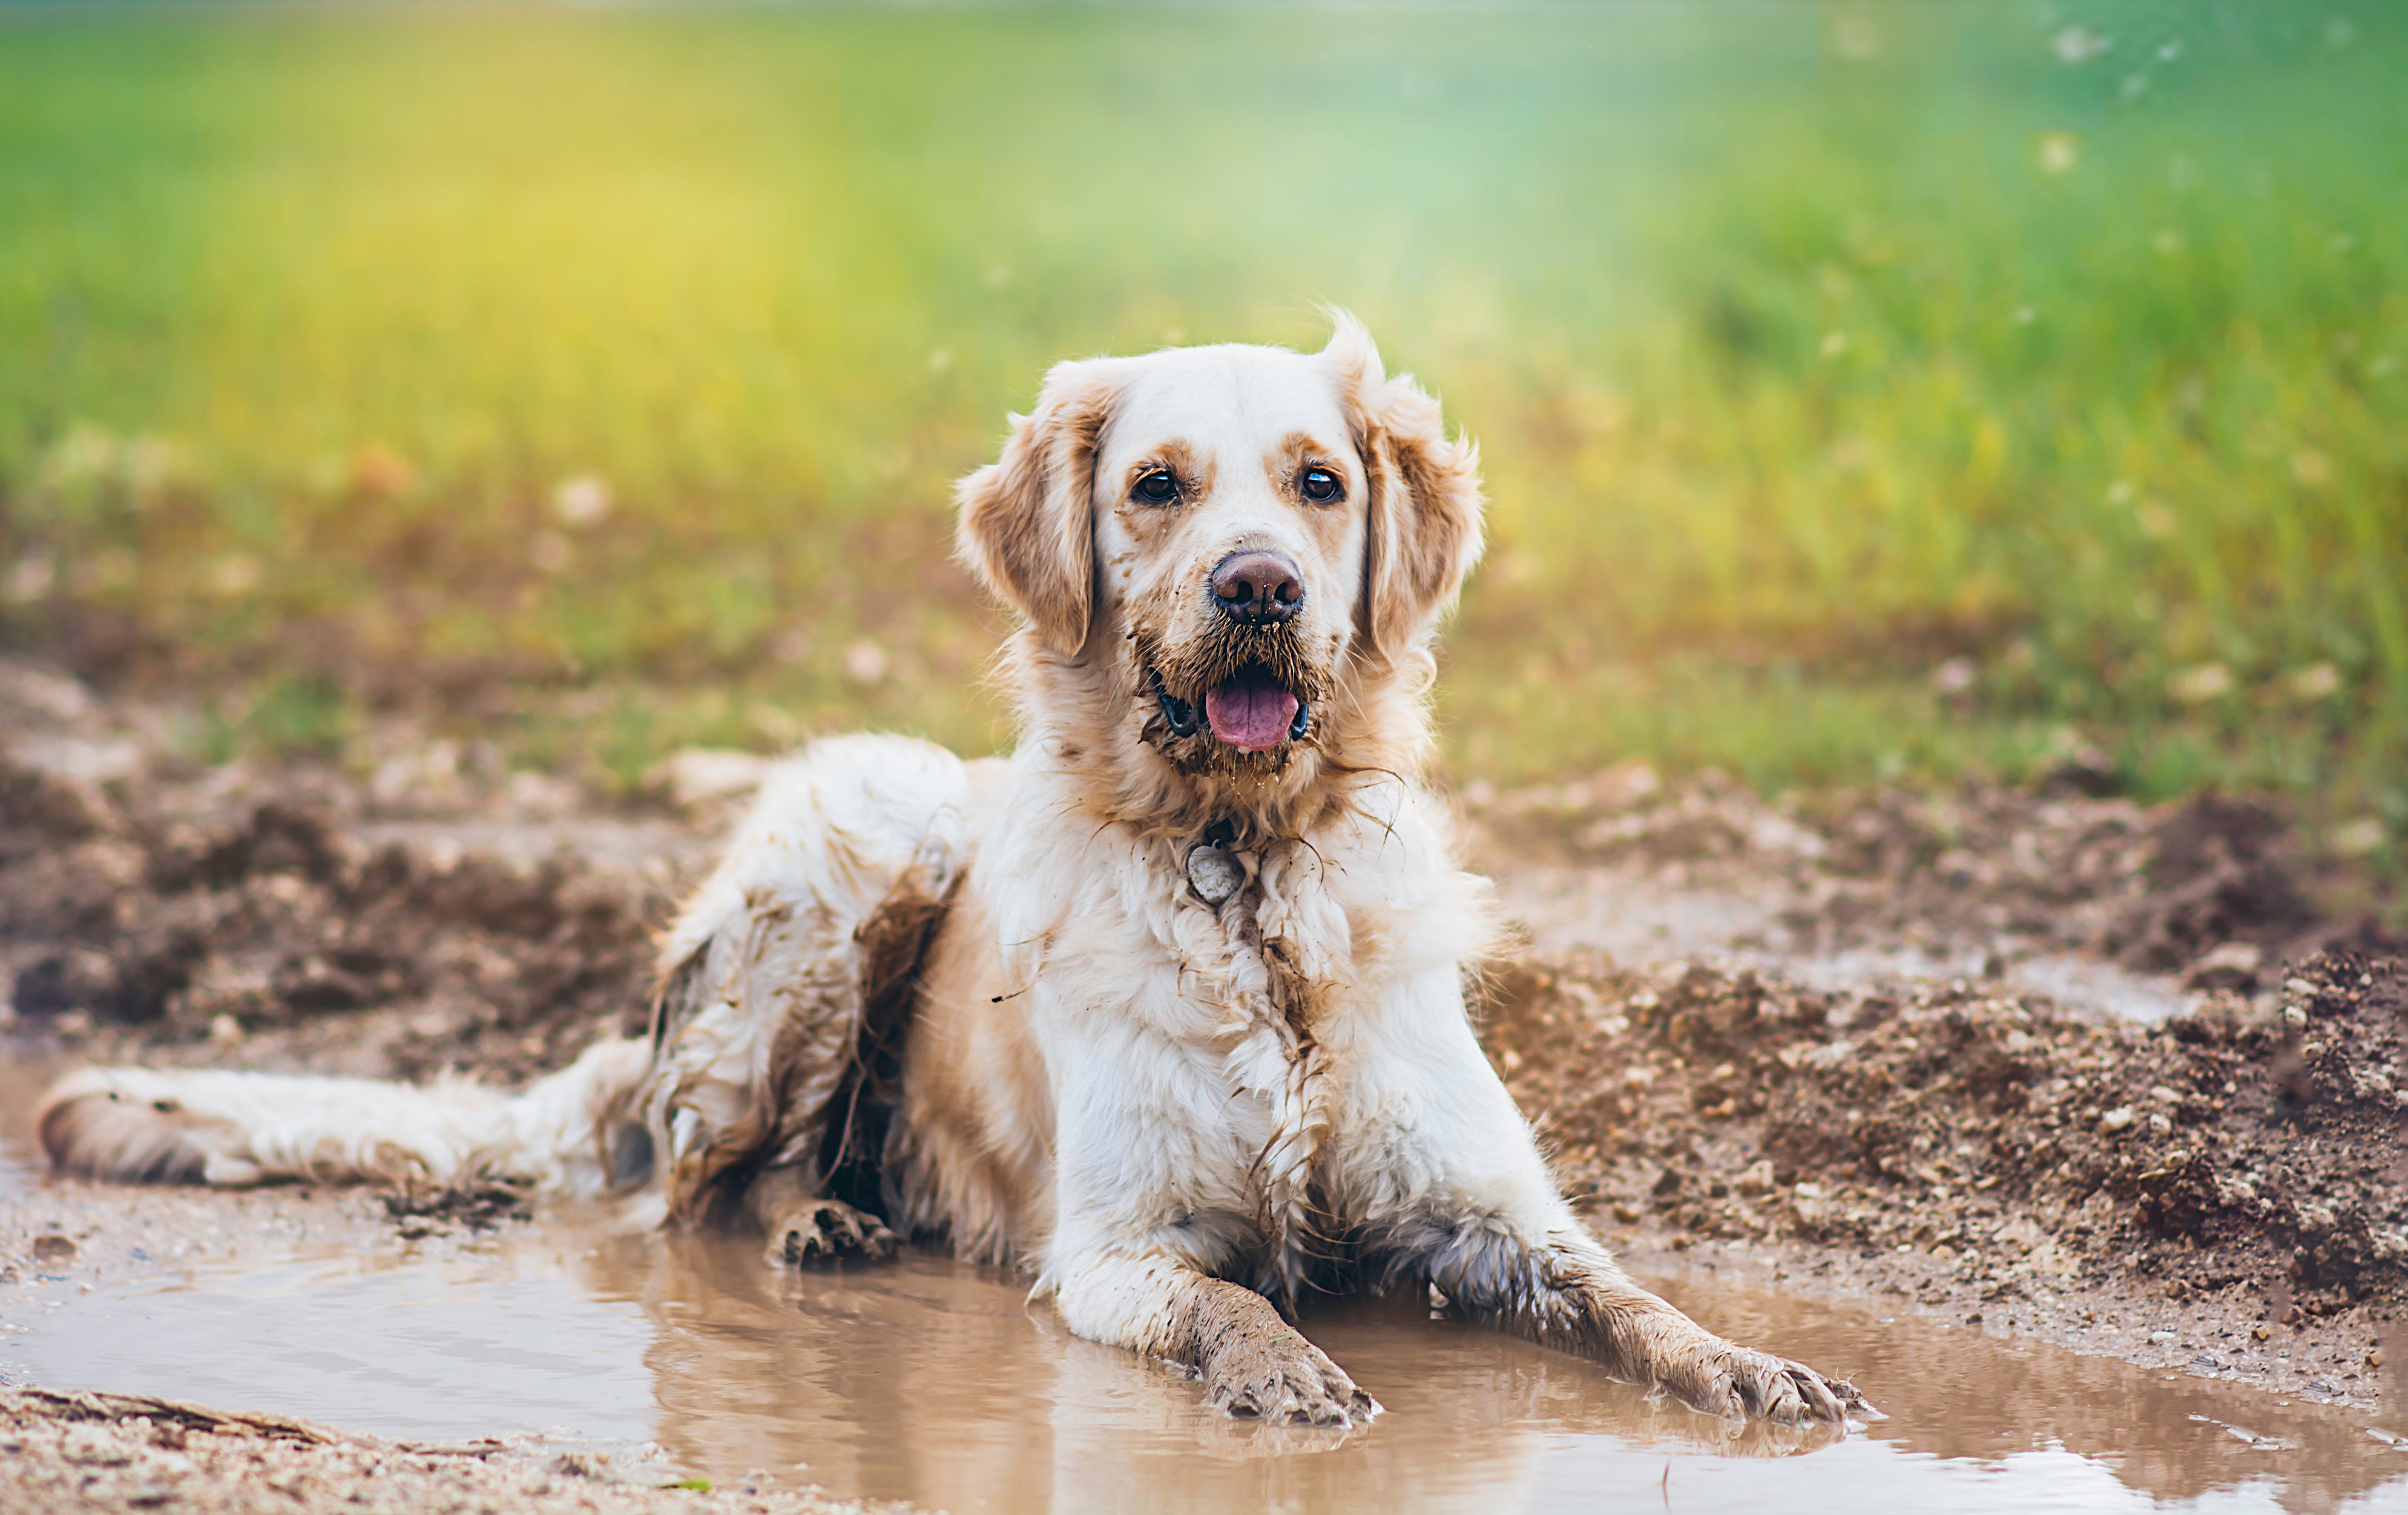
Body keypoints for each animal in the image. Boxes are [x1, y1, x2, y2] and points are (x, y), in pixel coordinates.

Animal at [42, 315, 1878, 1425]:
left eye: (1318, 481)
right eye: (1156, 487)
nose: (1263, 585)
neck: (1249, 880)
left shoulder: (1487, 1212)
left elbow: (1629, 1292)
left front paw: (1754, 1364)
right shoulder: (1117, 1248)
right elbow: (1234, 1306)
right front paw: (1288, 1374)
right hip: (856, 847)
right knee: (686, 1198)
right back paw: (823, 1221)